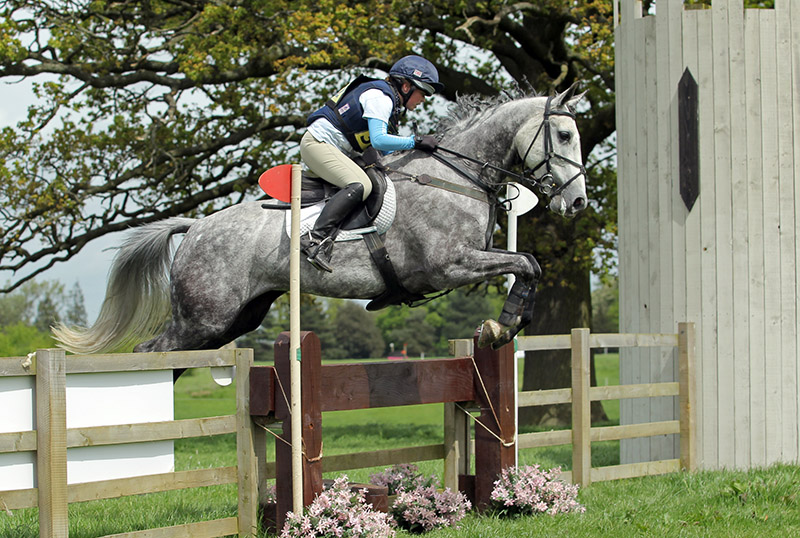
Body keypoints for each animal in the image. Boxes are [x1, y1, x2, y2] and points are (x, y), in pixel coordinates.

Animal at [53, 85, 588, 358]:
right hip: (203, 319)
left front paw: (506, 326)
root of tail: (195, 227)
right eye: (563, 135)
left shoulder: (474, 258)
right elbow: (526, 263)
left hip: (235, 318)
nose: (579, 203)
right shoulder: (448, 266)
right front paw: (502, 326)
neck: (457, 175)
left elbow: (529, 263)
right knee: (151, 354)